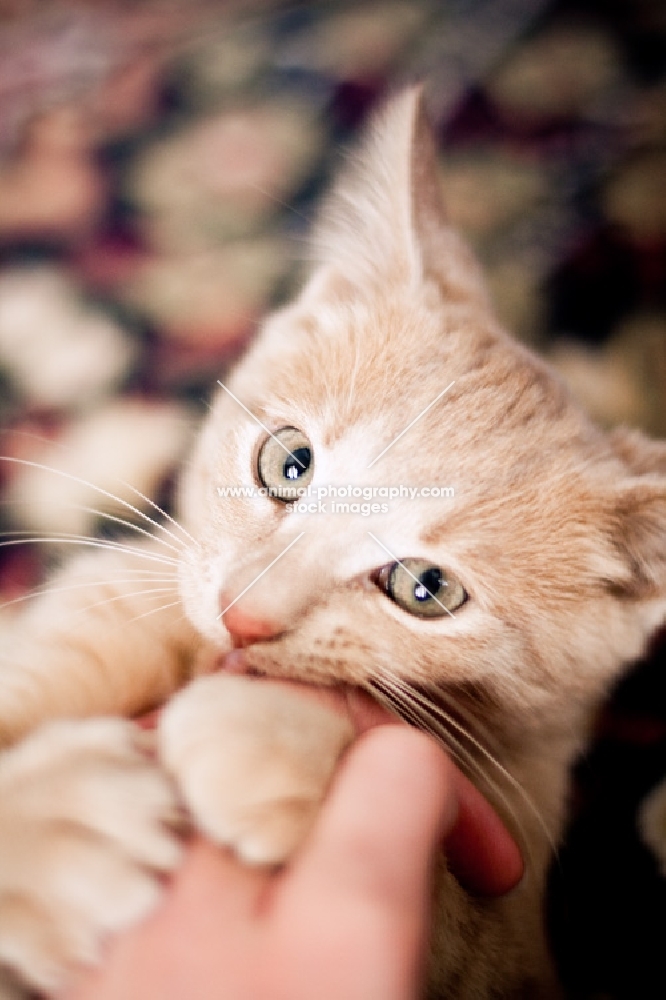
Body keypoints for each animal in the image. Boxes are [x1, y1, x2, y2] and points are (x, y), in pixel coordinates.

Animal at [1, 88, 664, 1000]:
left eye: (427, 589)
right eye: (288, 462)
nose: (242, 616)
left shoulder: (516, 921)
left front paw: (272, 736)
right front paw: (55, 819)